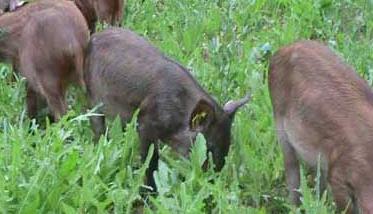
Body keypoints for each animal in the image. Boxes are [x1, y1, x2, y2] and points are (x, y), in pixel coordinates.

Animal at [85, 27, 250, 191]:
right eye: (208, 147)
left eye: (229, 145)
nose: (213, 182)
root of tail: (94, 37)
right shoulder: (145, 123)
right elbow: (151, 159)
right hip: (93, 99)